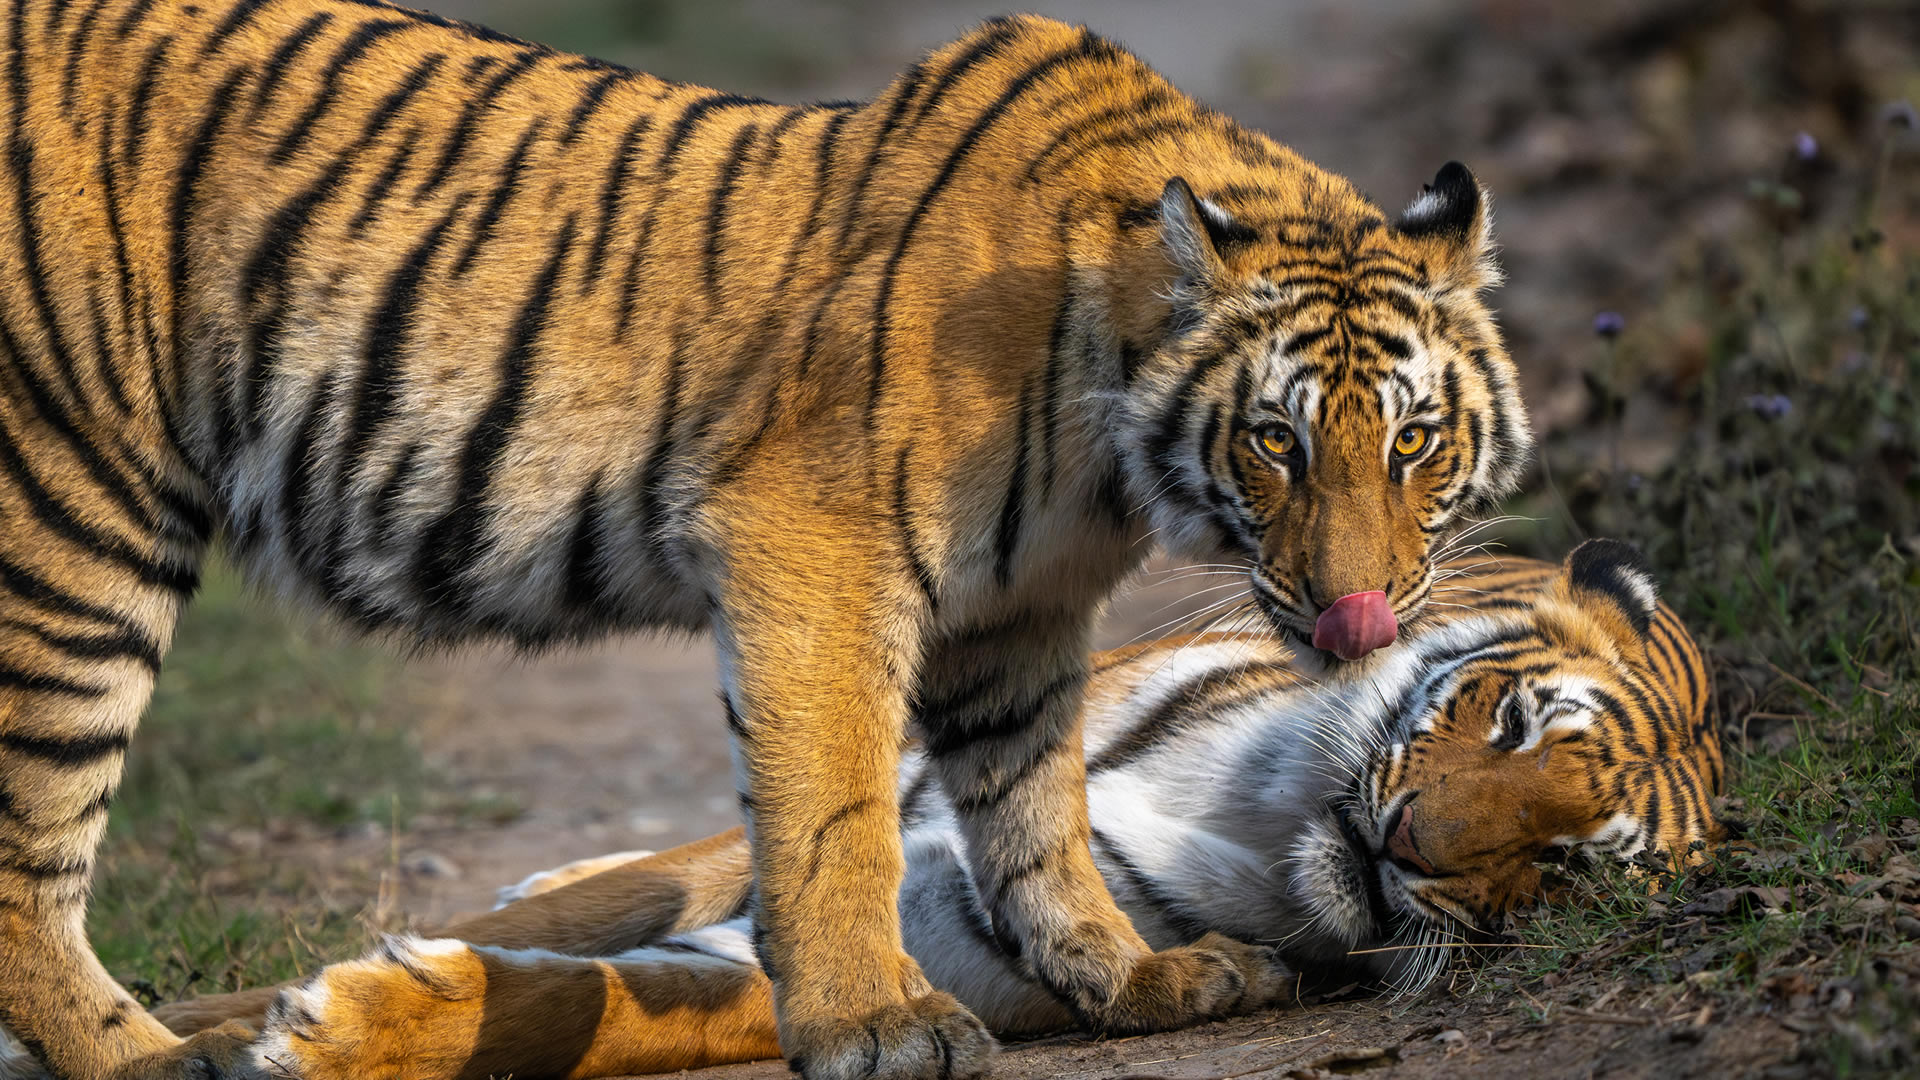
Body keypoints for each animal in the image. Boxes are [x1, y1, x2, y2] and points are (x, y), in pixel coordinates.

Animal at [0, 2, 1531, 1077]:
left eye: (1414, 442)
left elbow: (1035, 814)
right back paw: (154, 1063)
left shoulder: (1019, 617)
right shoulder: (816, 549)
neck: (1113, 444)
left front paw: (1126, 979)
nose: (1354, 621)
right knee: (30, 850)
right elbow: (839, 813)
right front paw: (873, 1026)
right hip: (71, 516)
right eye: (1275, 441)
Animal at [129, 541, 1724, 1080]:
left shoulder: (972, 956)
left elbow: (633, 1007)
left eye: (1561, 876)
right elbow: (592, 929)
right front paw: (176, 1035)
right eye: (1511, 724)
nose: (1409, 847)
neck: (1259, 805)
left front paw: (346, 1026)